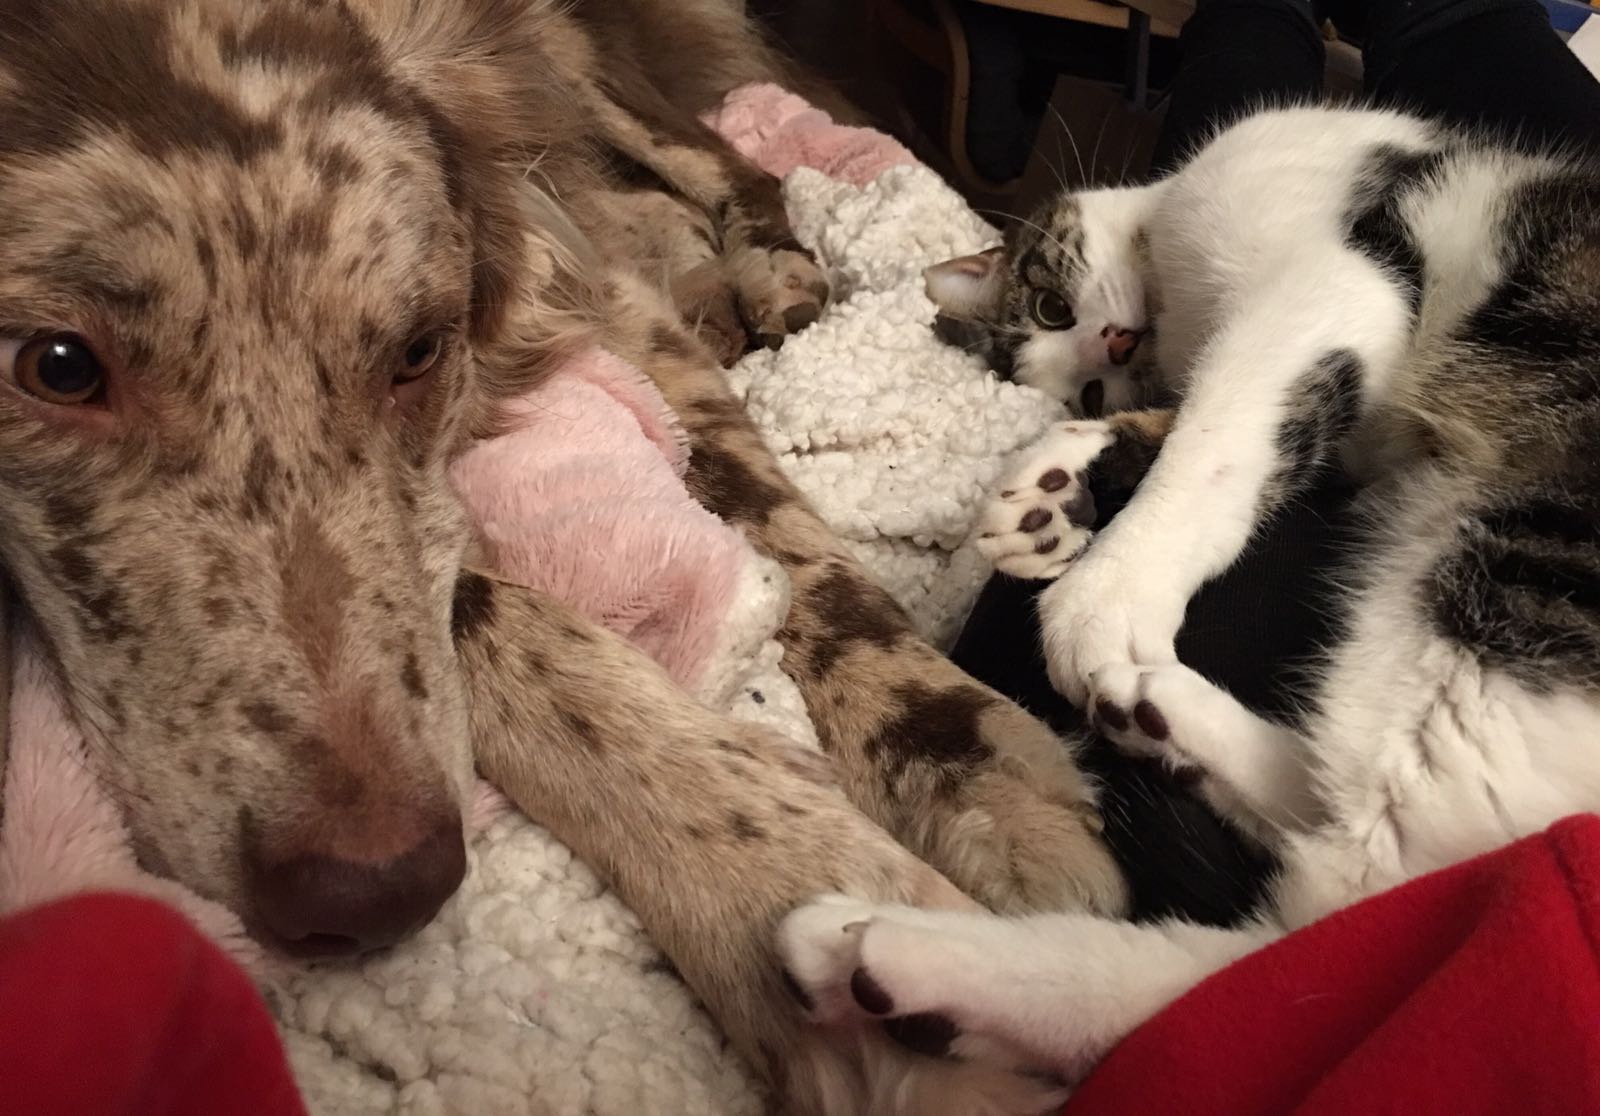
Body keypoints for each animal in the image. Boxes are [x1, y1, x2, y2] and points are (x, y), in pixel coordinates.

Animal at [0, 1, 1124, 1110]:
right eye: (55, 367)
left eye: (419, 351)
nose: (375, 892)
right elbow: (488, 610)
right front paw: (787, 882)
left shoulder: (594, 309)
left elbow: (794, 544)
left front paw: (957, 773)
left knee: (719, 161)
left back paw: (766, 268)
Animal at [779, 104, 1600, 1113]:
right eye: (1084, 375)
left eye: (1053, 307)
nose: (1114, 347)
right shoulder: (1338, 429)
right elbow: (1203, 429)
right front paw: (1051, 491)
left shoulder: (1331, 277)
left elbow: (1220, 430)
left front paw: (1101, 588)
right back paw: (1151, 722)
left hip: (1524, 566)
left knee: (1335, 919)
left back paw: (909, 961)